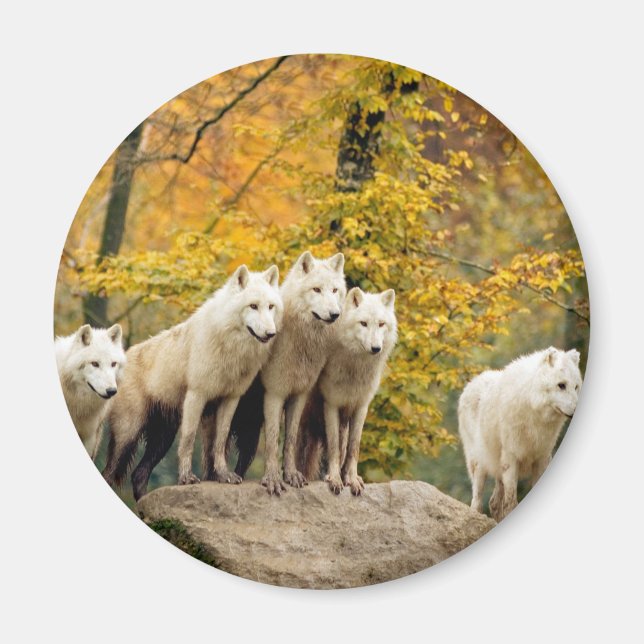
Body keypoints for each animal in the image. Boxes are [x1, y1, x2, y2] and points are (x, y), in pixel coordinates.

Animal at [102, 264, 282, 501]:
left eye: (270, 306)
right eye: (253, 306)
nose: (271, 333)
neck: (231, 347)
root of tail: (118, 361)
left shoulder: (231, 399)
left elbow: (220, 441)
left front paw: (224, 475)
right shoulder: (197, 395)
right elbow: (188, 439)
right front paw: (186, 478)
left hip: (163, 438)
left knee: (138, 474)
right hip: (128, 435)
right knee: (109, 473)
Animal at [238, 251, 346, 495]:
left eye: (335, 290)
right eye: (316, 289)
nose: (335, 314)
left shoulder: (299, 395)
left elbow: (289, 439)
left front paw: (291, 475)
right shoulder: (275, 394)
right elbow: (272, 441)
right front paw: (272, 479)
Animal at [296, 287, 397, 495]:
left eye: (381, 324)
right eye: (363, 323)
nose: (376, 348)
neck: (355, 369)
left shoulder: (361, 407)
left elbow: (353, 449)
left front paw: (351, 479)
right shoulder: (331, 404)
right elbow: (333, 449)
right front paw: (334, 479)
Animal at [458, 347, 582, 521]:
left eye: (576, 387)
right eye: (561, 385)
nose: (577, 410)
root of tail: (471, 383)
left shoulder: (542, 458)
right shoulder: (511, 458)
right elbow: (511, 502)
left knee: (493, 503)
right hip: (480, 464)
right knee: (477, 502)